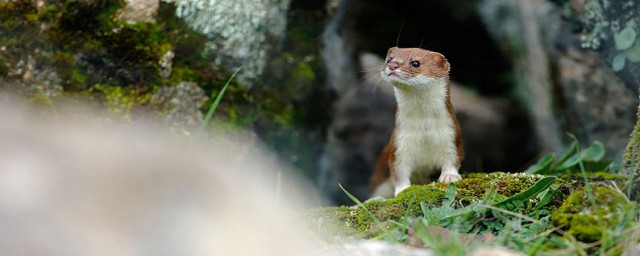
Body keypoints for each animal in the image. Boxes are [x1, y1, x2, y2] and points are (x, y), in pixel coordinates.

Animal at [364, 47, 464, 197]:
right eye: (389, 59)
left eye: (415, 63)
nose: (392, 65)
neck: (424, 130)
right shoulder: (399, 143)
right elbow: (398, 170)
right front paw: (403, 190)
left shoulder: (451, 135)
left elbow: (452, 158)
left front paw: (449, 177)